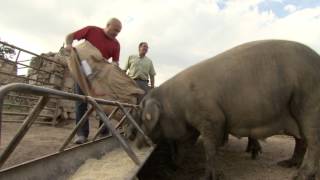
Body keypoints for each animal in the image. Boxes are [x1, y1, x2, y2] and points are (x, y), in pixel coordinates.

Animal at [134, 40, 320, 179]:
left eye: (142, 117)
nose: (136, 143)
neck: (175, 104)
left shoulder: (211, 117)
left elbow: (209, 148)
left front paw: (205, 177)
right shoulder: (192, 126)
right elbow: (185, 144)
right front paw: (175, 166)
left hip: (309, 102)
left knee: (313, 140)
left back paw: (300, 175)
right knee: (301, 141)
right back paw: (286, 164)